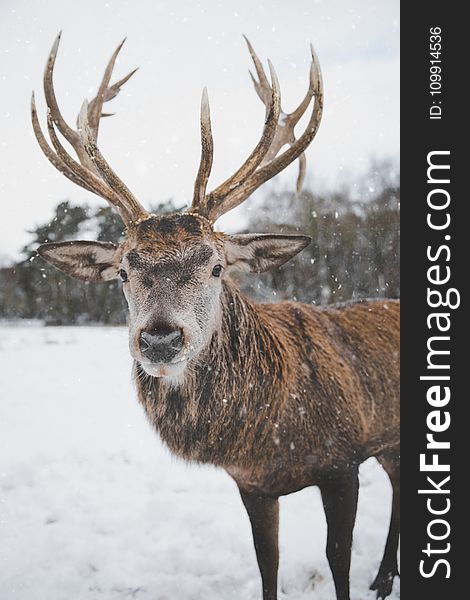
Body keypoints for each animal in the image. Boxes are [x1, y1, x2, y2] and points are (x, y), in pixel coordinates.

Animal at [32, 34, 400, 600]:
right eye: (123, 271)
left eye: (216, 266)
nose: (160, 339)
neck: (272, 434)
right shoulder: (251, 484)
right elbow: (267, 562)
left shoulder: (344, 460)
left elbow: (337, 559)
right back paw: (383, 578)